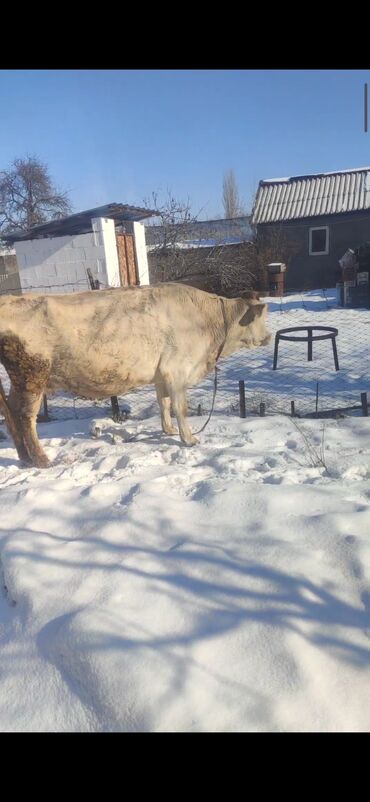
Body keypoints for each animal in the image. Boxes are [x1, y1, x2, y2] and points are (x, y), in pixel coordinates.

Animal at [0, 282, 272, 466]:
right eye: (262, 317)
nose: (269, 337)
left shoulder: (161, 374)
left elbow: (163, 403)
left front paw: (168, 430)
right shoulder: (177, 370)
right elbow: (180, 408)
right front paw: (189, 439)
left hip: (20, 380)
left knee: (10, 411)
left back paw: (24, 457)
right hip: (32, 374)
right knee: (25, 417)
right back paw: (41, 460)